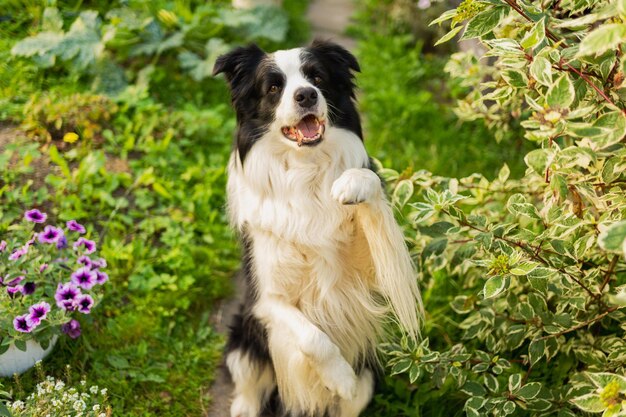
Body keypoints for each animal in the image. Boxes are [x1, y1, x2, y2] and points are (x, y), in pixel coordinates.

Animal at [212, 39, 422, 416]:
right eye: (274, 87)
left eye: (317, 77)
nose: (307, 95)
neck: (304, 171)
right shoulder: (265, 300)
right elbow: (312, 337)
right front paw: (339, 378)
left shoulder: (381, 271)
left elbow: (367, 180)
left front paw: (351, 184)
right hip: (242, 342)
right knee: (248, 387)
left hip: (370, 374)